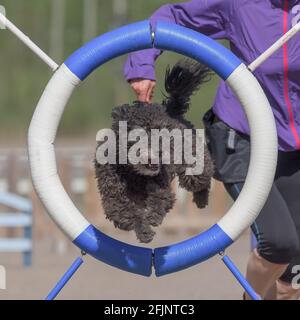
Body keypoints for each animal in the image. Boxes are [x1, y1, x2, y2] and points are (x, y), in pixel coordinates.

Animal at [94, 59, 213, 242]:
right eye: (140, 133)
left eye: (162, 130)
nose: (162, 152)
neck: (133, 173)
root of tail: (172, 110)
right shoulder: (113, 198)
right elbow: (126, 213)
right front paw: (144, 232)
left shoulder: (161, 187)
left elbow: (159, 200)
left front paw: (151, 219)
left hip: (193, 164)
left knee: (202, 178)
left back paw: (201, 199)